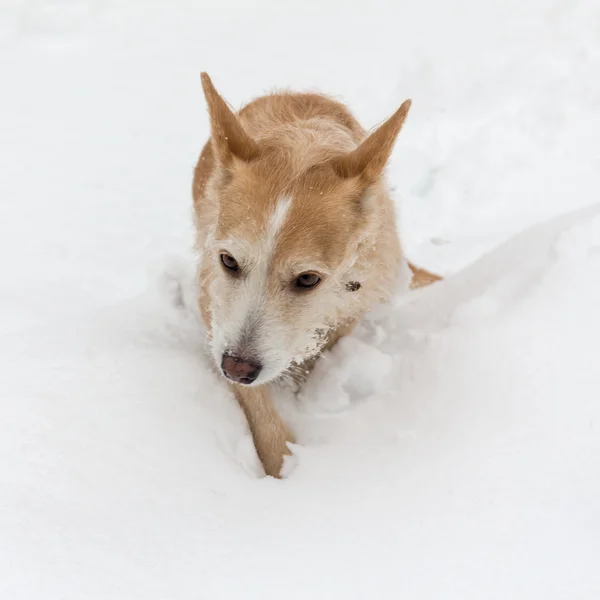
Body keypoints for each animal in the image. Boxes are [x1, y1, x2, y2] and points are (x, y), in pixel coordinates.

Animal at [192, 75, 440, 478]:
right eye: (228, 261)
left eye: (308, 279)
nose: (237, 368)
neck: (302, 148)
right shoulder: (214, 306)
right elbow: (258, 408)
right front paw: (281, 465)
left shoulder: (358, 298)